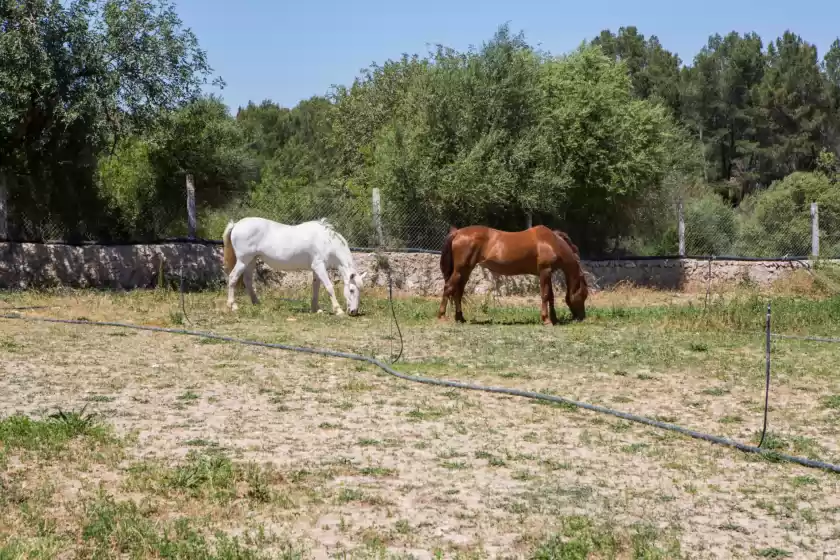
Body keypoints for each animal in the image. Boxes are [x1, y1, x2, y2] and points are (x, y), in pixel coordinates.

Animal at [221, 217, 366, 316]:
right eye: (352, 290)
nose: (354, 311)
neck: (327, 241)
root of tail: (236, 225)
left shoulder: (315, 269)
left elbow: (316, 287)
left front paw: (316, 309)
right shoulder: (319, 266)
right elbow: (329, 287)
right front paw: (338, 310)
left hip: (251, 261)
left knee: (248, 281)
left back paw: (256, 303)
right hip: (243, 261)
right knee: (233, 278)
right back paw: (232, 306)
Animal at [436, 225, 588, 326]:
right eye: (584, 295)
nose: (582, 317)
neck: (551, 242)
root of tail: (457, 232)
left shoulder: (547, 272)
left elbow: (550, 296)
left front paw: (554, 319)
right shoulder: (545, 271)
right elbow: (545, 295)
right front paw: (546, 320)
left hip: (466, 270)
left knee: (458, 292)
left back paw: (460, 318)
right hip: (460, 270)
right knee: (449, 287)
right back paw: (442, 316)